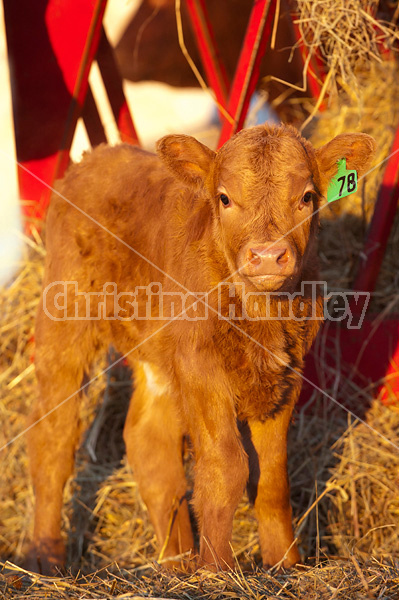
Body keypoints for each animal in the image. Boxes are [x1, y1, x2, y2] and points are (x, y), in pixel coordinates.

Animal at [26, 120, 376, 572]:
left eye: (307, 197)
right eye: (224, 198)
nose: (267, 255)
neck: (260, 317)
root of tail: (97, 156)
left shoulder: (286, 377)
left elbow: (272, 478)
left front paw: (285, 564)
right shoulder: (201, 368)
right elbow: (227, 466)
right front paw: (218, 570)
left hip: (156, 353)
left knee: (149, 443)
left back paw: (176, 561)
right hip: (64, 323)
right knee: (53, 436)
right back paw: (45, 557)